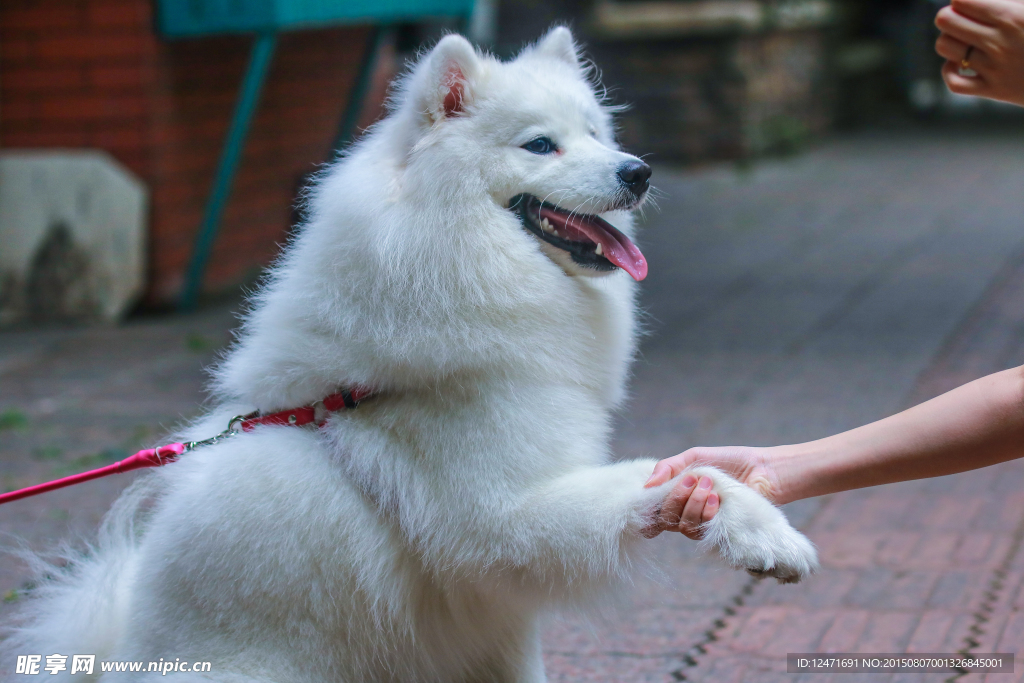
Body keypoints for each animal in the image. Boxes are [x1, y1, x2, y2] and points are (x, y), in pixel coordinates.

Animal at [2, 28, 815, 683]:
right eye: (540, 144)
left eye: (594, 132)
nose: (637, 171)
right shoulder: (503, 516)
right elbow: (679, 475)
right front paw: (768, 536)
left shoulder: (499, 625)